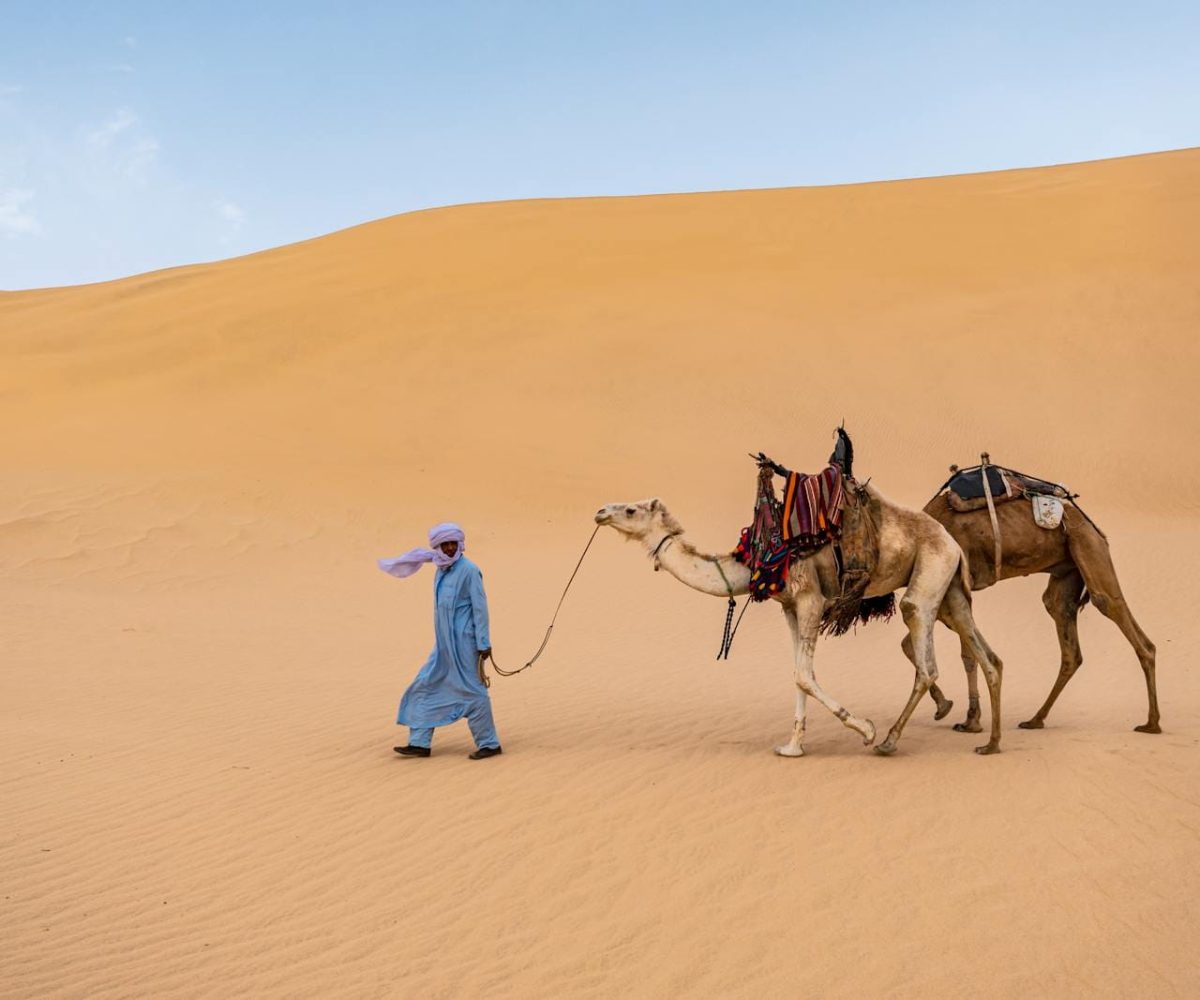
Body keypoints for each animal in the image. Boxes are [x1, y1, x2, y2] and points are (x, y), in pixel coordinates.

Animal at [594, 480, 1006, 756]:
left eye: (630, 509)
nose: (599, 511)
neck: (758, 556)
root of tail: (951, 541)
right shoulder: (789, 607)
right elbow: (797, 674)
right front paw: (792, 746)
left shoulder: (810, 599)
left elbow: (804, 675)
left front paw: (865, 729)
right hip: (950, 587)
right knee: (986, 655)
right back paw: (990, 741)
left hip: (929, 572)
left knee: (924, 654)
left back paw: (889, 740)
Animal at [924, 481, 1160, 734]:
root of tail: (1095, 529)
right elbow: (959, 653)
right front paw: (965, 717)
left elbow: (961, 652)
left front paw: (963, 717)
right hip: (1068, 570)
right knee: (1066, 634)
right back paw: (1035, 719)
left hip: (1088, 546)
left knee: (1111, 607)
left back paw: (1152, 723)